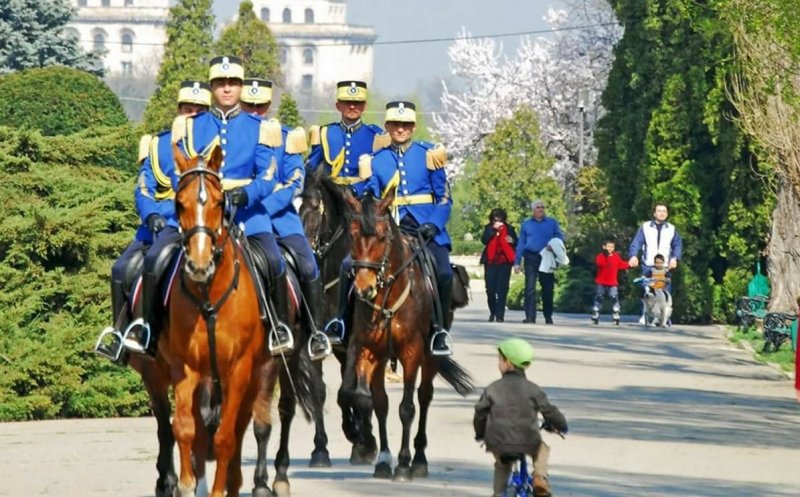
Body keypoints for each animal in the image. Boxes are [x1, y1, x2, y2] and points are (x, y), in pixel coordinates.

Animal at [298, 170, 380, 464]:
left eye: (314, 207)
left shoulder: (357, 341)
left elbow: (351, 391)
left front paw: (361, 439)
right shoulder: (315, 342)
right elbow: (320, 391)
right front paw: (320, 448)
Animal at [338, 187, 476, 480]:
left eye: (382, 236)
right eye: (352, 234)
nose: (364, 289)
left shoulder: (411, 353)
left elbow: (406, 408)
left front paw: (402, 463)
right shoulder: (366, 348)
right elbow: (364, 398)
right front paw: (370, 447)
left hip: (430, 357)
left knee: (424, 397)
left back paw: (419, 459)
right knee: (382, 401)